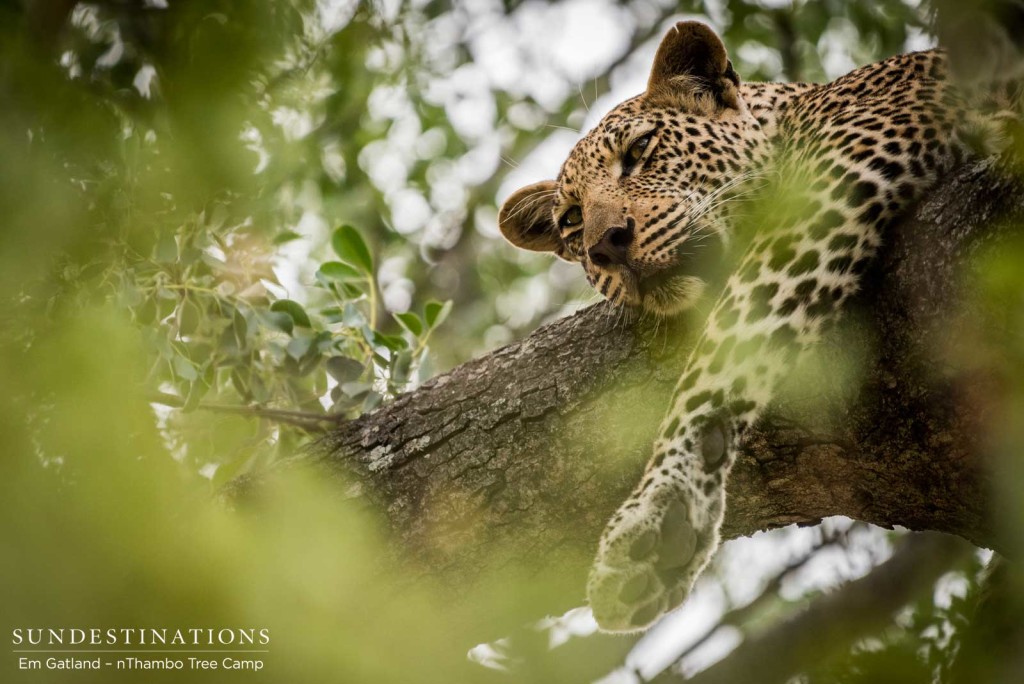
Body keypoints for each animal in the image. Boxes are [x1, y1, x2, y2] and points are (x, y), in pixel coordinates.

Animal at [495, 20, 1015, 630]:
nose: (606, 245)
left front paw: (662, 504)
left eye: (640, 151)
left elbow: (723, 352)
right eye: (572, 220)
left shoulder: (832, 176)